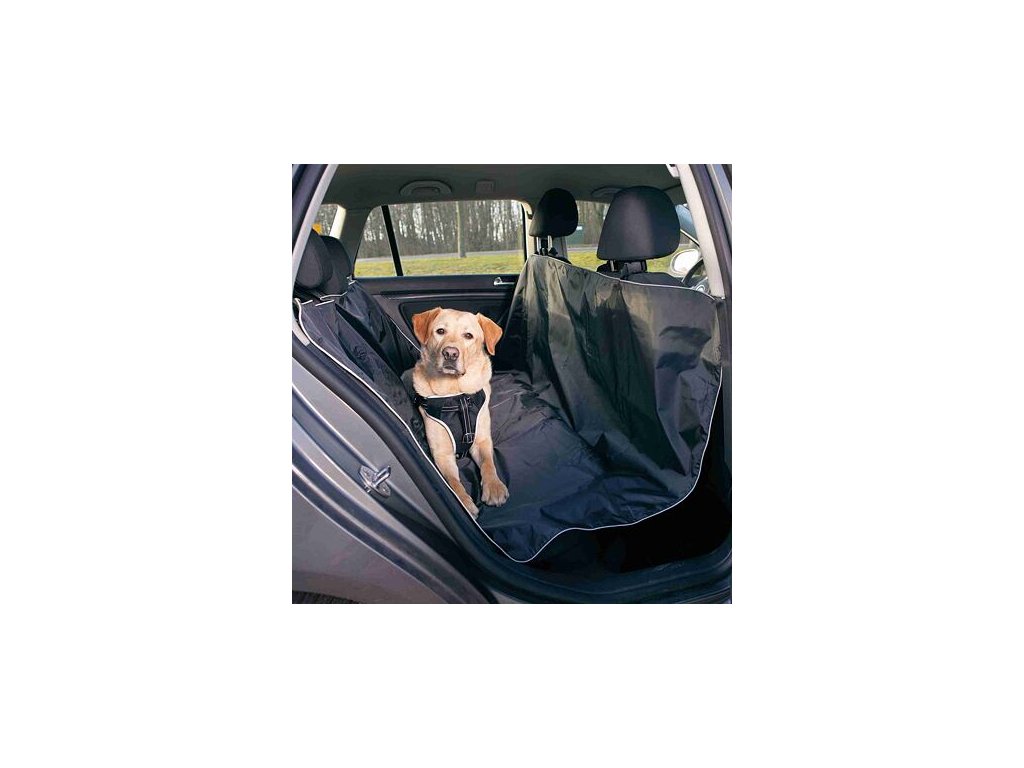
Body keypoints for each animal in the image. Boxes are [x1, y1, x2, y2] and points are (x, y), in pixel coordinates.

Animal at [409, 307, 509, 519]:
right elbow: (453, 483)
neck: (456, 394)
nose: (450, 353)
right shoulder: (442, 454)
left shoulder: (481, 440)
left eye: (468, 336)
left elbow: (488, 463)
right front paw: (464, 502)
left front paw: (494, 487)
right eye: (440, 331)